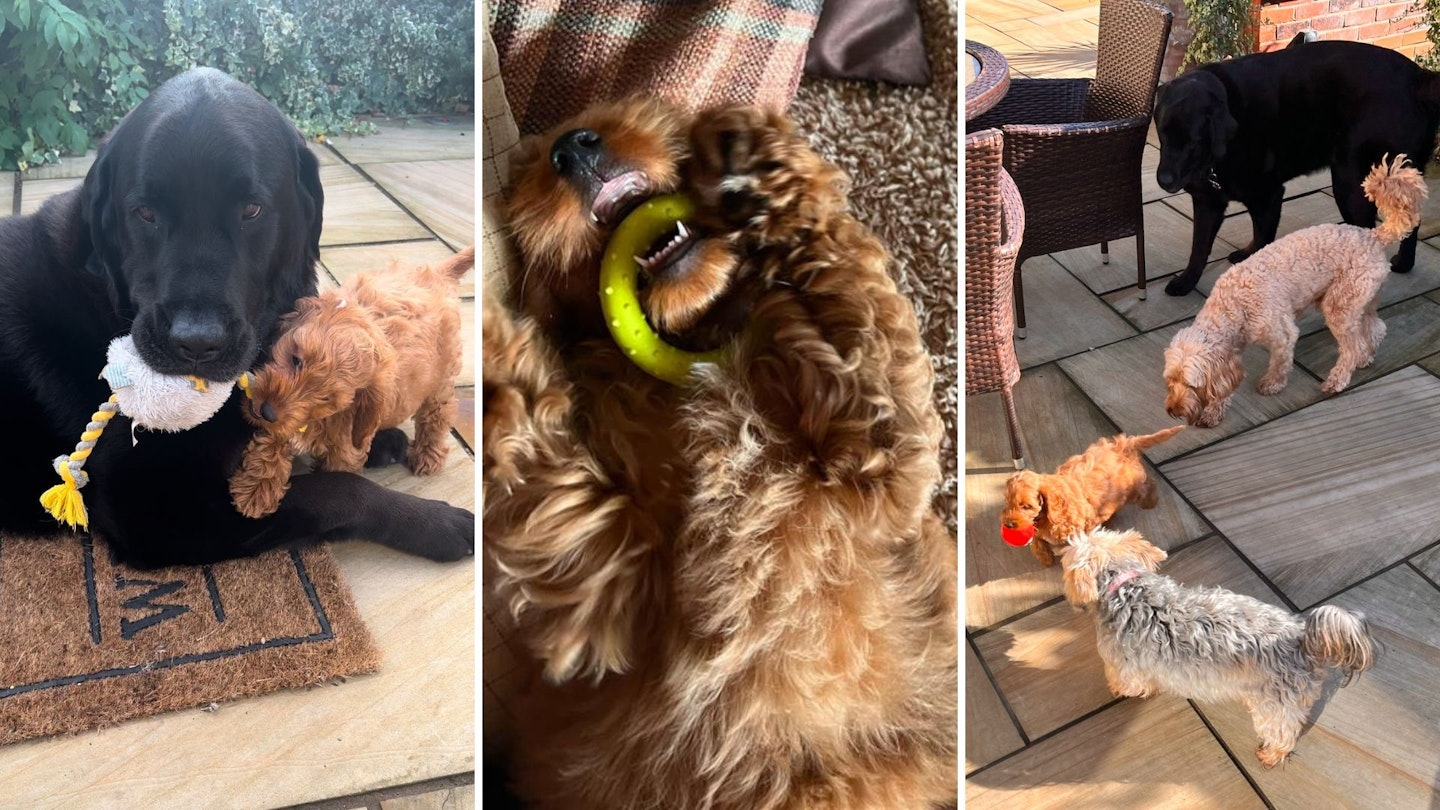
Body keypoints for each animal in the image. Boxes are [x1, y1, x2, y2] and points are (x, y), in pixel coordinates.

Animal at [227, 242, 469, 515]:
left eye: (325, 397)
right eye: (296, 360)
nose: (267, 410)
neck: (319, 419)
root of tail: (438, 274)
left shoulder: (345, 447)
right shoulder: (286, 417)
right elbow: (272, 438)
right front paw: (256, 488)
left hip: (441, 379)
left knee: (438, 414)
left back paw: (428, 455)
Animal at [480, 99, 956, 807]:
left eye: (621, 109)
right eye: (531, 170)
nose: (572, 149)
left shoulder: (886, 464)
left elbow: (855, 298)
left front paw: (761, 165)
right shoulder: (612, 594)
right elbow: (558, 486)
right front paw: (487, 352)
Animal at [1002, 426, 1180, 564]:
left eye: (1026, 506)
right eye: (1008, 503)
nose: (1008, 524)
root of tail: (1123, 445)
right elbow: (1036, 542)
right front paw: (1045, 558)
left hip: (1133, 486)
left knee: (1148, 485)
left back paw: (1150, 502)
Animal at [1065, 527, 1376, 766]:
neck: (1127, 588)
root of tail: (1301, 635)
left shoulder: (1123, 662)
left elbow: (1129, 683)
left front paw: (1119, 690)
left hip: (1276, 704)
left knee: (1282, 732)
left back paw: (1271, 754)